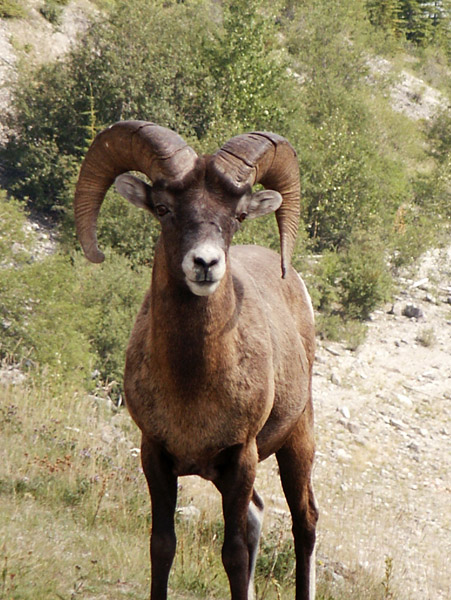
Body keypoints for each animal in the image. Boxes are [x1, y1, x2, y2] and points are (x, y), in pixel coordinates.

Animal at [74, 122, 318, 600]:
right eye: (164, 208)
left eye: (237, 216)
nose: (206, 263)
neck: (192, 385)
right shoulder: (155, 455)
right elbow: (162, 545)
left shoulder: (242, 458)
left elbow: (234, 555)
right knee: (260, 515)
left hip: (297, 441)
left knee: (305, 523)